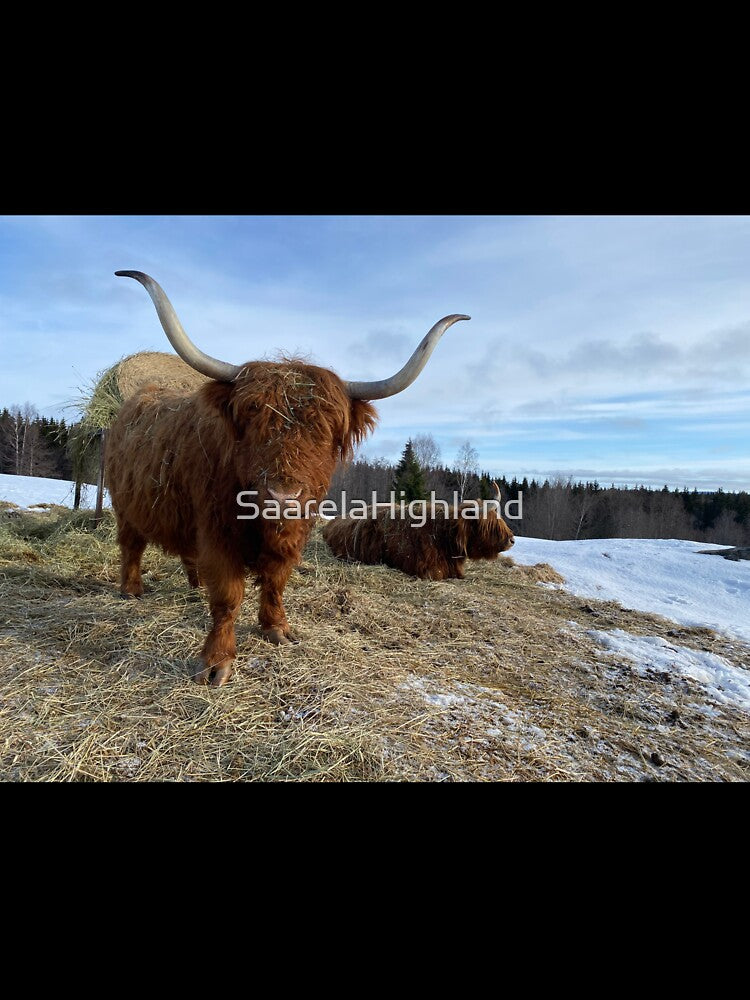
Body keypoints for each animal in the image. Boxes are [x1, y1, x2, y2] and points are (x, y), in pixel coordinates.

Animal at [106, 270, 469, 686]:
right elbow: (227, 595)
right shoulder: (218, 533)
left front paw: (276, 628)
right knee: (131, 546)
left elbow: (276, 581)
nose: (282, 497)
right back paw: (131, 589)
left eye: (327, 430)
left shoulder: (294, 533)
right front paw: (216, 662)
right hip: (124, 507)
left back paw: (192, 585)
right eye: (252, 418)